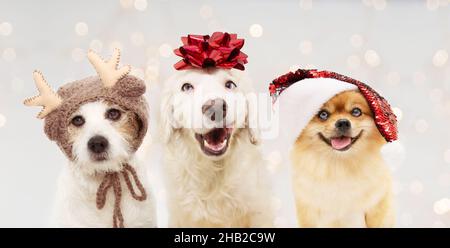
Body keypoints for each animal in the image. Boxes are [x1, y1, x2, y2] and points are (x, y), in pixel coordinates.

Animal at [292, 90, 394, 228]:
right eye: (323, 114)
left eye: (356, 112)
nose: (343, 122)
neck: (339, 165)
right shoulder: (308, 210)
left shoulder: (376, 207)